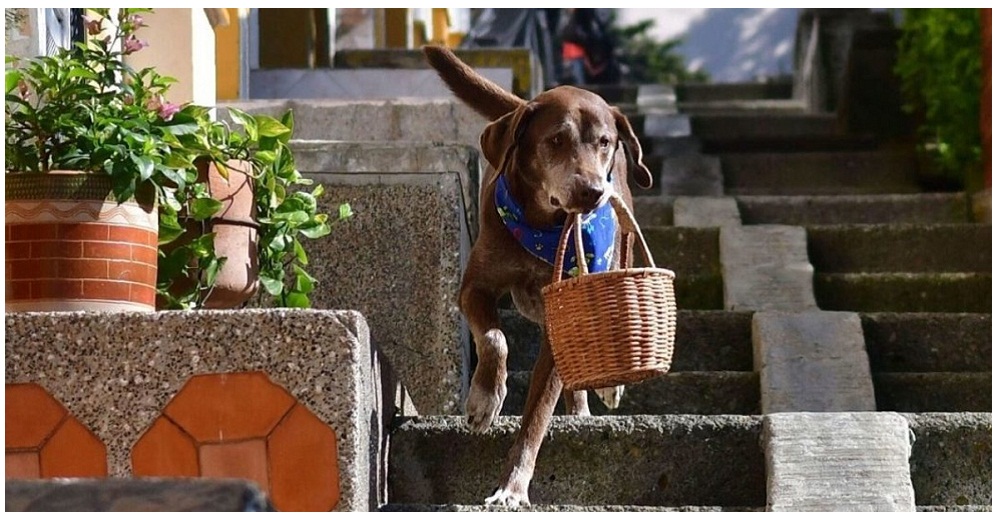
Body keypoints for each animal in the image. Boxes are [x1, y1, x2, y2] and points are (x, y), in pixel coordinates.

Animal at [424, 46, 652, 506]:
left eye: (604, 142)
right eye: (556, 140)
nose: (592, 190)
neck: (542, 224)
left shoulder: (562, 318)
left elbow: (537, 415)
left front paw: (512, 488)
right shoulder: (474, 287)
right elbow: (495, 339)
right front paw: (484, 400)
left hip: (617, 255)